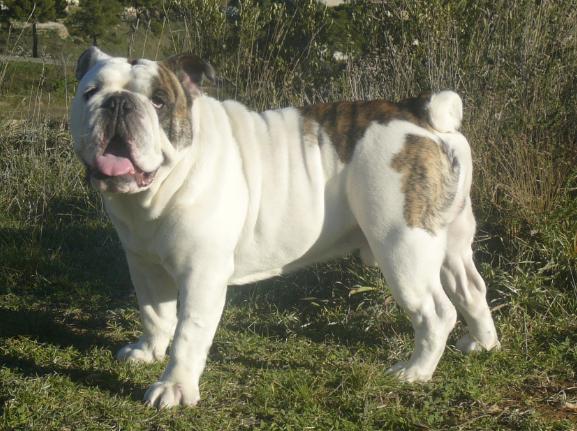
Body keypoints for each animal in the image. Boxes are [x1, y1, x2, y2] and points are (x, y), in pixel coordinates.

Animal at [69, 46, 500, 408]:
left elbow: (188, 332)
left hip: (403, 248)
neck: (159, 187)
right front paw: (147, 351)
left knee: (436, 312)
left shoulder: (201, 274)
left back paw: (415, 372)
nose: (118, 102)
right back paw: (482, 344)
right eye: (90, 92)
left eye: (158, 100)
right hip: (449, 240)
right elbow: (154, 313)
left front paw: (174, 387)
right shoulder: (142, 264)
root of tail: (420, 113)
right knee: (472, 288)